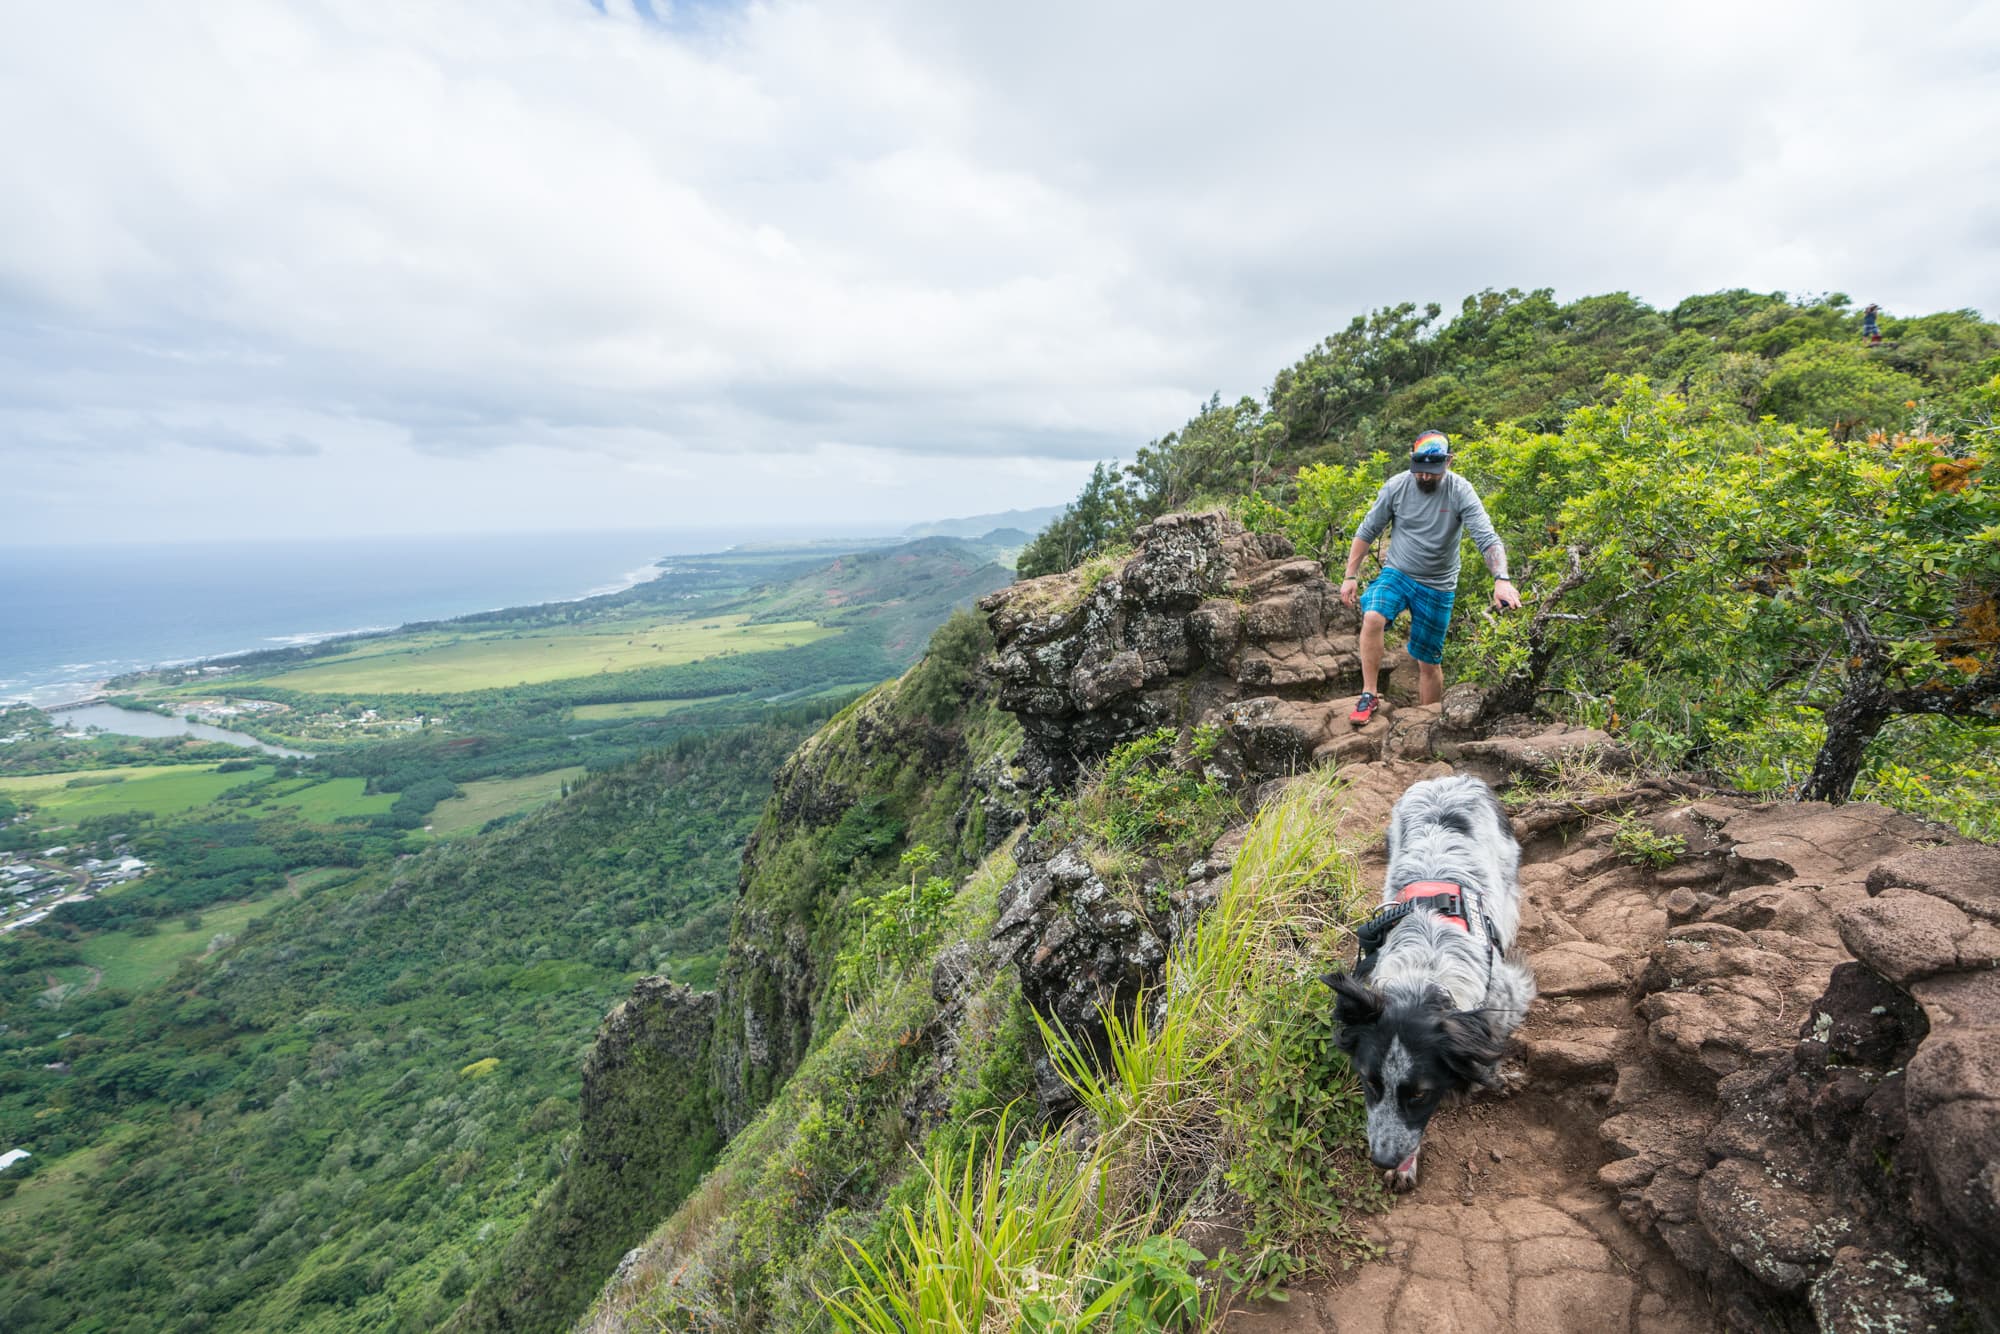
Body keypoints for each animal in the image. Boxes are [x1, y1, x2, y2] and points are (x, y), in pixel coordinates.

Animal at [1320, 768, 1536, 1192]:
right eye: (1370, 1084)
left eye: (1421, 1095)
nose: (1381, 1159)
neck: (1426, 972)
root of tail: (1448, 779)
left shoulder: (1507, 995)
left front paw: (1488, 1076)